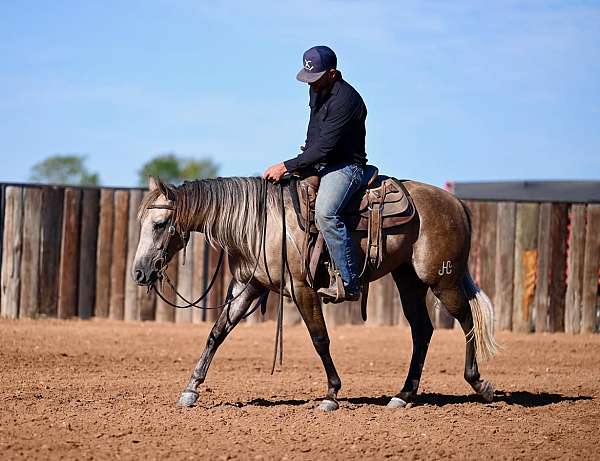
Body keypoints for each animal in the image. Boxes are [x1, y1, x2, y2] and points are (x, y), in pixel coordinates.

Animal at [134, 175, 500, 410]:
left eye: (159, 225)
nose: (139, 272)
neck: (261, 224)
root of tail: (456, 203)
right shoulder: (249, 286)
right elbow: (216, 333)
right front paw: (190, 390)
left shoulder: (302, 289)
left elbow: (320, 338)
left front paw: (332, 394)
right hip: (408, 279)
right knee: (422, 330)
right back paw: (403, 395)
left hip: (441, 279)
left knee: (468, 321)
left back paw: (480, 384)